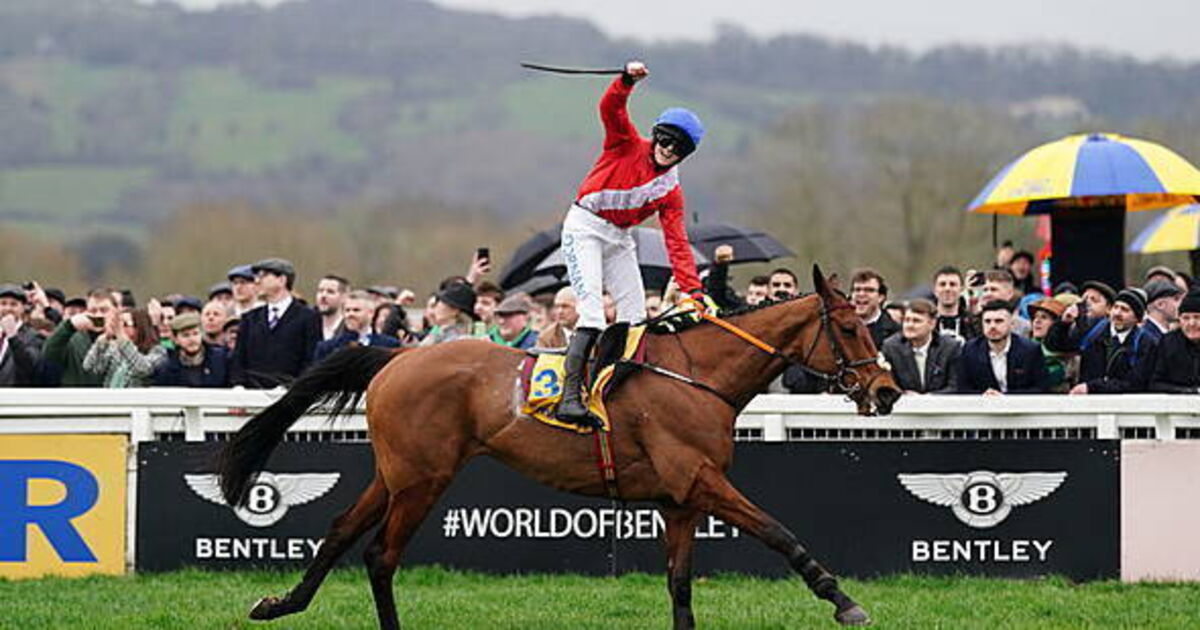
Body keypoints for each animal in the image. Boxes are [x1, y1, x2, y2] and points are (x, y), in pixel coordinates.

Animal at [218, 265, 901, 629]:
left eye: (870, 322)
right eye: (848, 328)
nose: (888, 390)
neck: (695, 374)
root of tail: (397, 356)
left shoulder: (680, 500)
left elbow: (680, 584)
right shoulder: (700, 479)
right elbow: (780, 533)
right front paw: (843, 600)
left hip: (397, 473)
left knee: (340, 532)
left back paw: (281, 603)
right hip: (422, 478)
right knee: (380, 555)